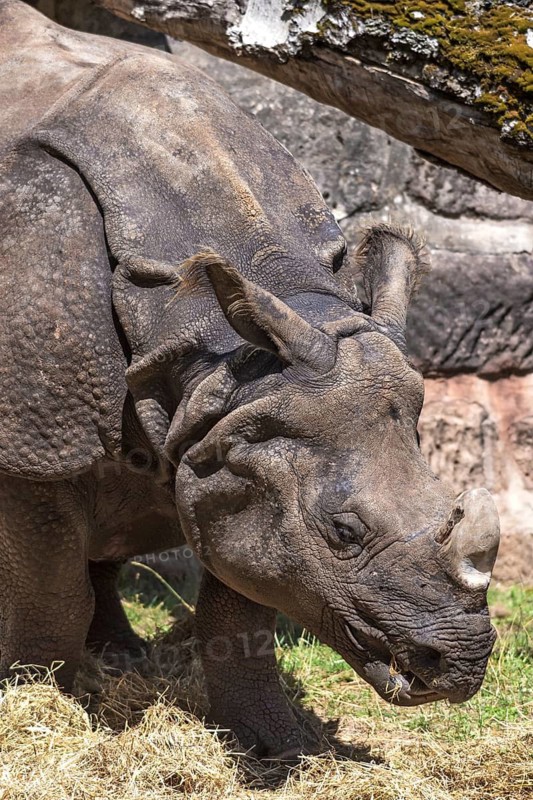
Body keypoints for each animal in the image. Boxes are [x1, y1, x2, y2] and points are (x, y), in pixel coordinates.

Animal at [0, 0, 500, 758]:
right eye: (344, 532)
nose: (459, 665)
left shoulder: (238, 427)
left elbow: (244, 607)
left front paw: (276, 745)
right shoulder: (38, 441)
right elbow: (50, 590)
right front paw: (40, 709)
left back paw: (123, 658)